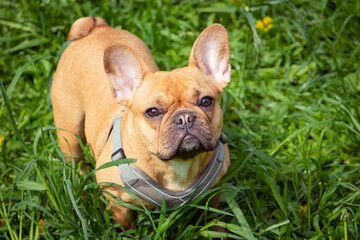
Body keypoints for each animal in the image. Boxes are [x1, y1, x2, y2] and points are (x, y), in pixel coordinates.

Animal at [51, 17, 231, 229]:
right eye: (152, 112)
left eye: (206, 101)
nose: (184, 117)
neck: (177, 164)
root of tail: (95, 27)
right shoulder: (119, 203)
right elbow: (128, 226)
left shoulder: (215, 188)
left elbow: (211, 216)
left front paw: (215, 230)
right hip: (69, 131)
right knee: (76, 161)